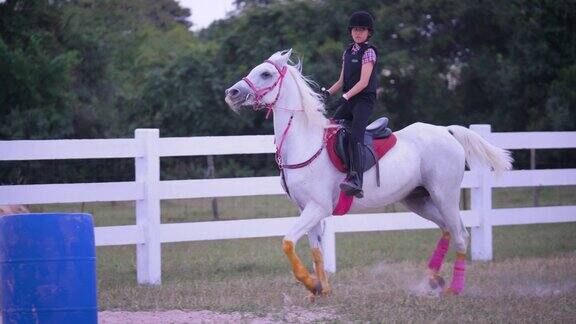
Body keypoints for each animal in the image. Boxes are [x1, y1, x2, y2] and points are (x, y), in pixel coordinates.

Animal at [225, 49, 512, 298]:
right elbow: (316, 251)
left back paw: (454, 288)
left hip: (445, 196)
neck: (306, 143)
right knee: (446, 230)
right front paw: (321, 290)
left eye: (265, 74)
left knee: (461, 235)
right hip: (417, 199)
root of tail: (445, 131)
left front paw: (310, 283)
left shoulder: (317, 208)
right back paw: (433, 279)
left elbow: (287, 242)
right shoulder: (306, 209)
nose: (232, 92)